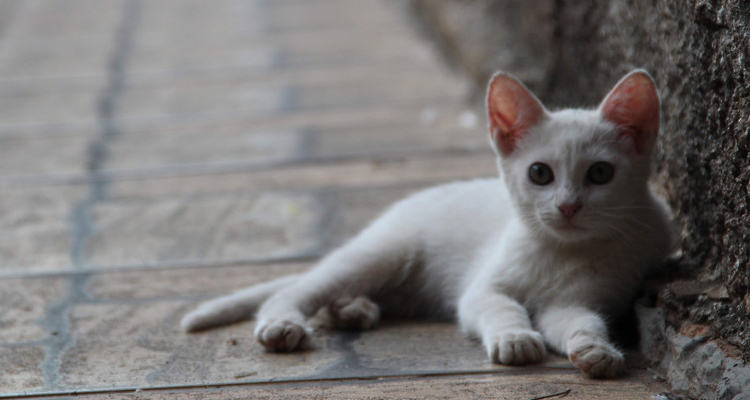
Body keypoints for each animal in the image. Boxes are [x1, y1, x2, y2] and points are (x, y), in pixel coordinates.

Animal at [184, 70, 676, 380]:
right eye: (540, 173)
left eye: (600, 174)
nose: (568, 206)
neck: (563, 250)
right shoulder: (481, 289)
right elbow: (499, 307)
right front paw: (516, 337)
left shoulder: (578, 300)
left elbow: (578, 321)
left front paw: (594, 350)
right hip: (382, 253)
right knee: (296, 290)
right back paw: (284, 324)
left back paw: (352, 309)